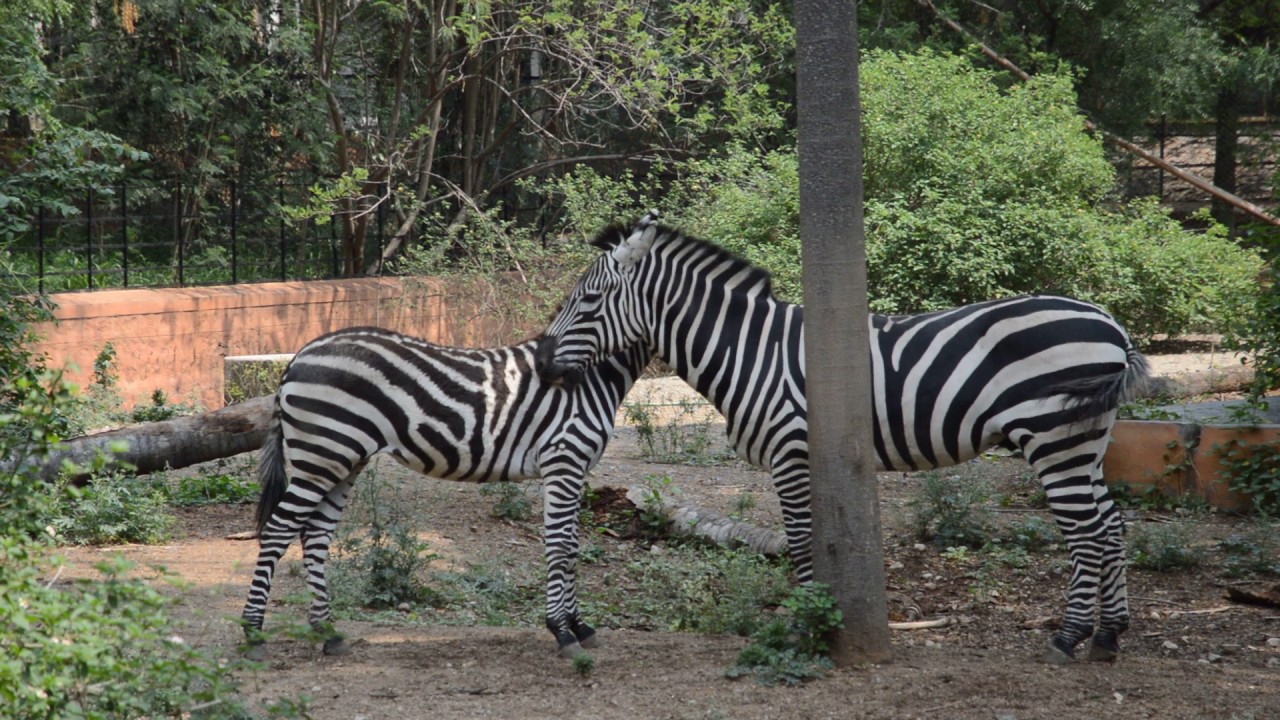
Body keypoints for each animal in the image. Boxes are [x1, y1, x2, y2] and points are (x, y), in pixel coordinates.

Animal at [240, 326, 650, 659]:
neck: (594, 374)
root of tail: (299, 356)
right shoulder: (564, 461)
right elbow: (562, 546)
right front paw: (564, 632)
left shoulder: (574, 469)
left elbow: (572, 546)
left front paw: (579, 626)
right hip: (322, 454)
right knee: (278, 530)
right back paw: (253, 634)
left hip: (339, 459)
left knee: (314, 534)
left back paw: (328, 633)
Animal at [534, 213, 1152, 664]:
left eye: (586, 301)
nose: (540, 364)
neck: (750, 351)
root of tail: (1112, 326)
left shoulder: (791, 451)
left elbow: (801, 542)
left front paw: (808, 626)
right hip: (1086, 442)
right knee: (1111, 525)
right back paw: (1108, 637)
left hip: (1054, 438)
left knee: (1087, 533)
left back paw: (1068, 638)